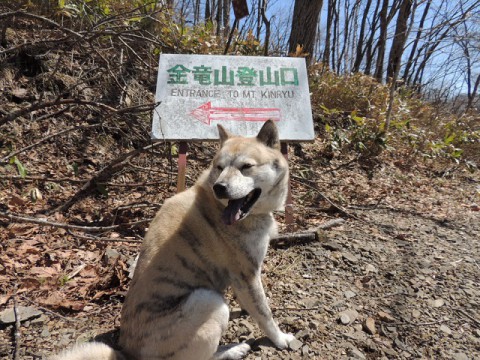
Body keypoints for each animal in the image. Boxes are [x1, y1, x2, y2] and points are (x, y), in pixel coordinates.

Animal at [50, 119, 294, 358]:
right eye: (220, 167)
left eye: (246, 167)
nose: (220, 187)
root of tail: (129, 354)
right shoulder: (247, 275)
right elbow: (264, 314)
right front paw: (281, 339)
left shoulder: (242, 279)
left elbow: (250, 304)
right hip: (209, 300)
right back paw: (233, 349)